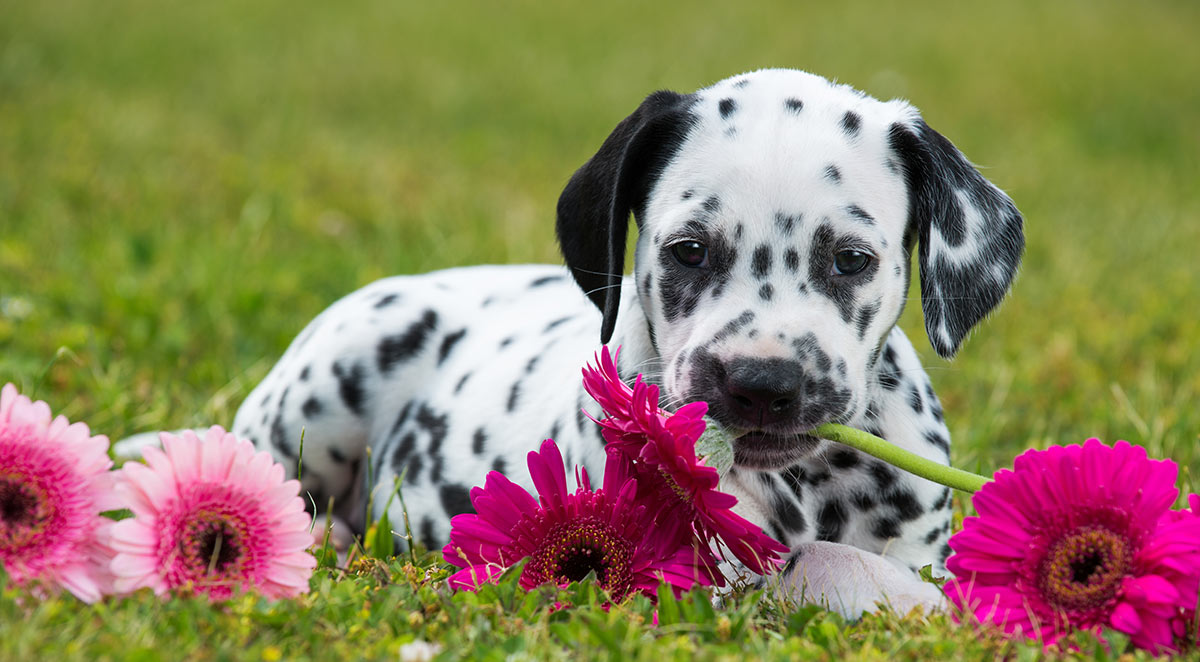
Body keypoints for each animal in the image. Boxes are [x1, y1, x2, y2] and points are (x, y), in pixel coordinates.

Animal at [220, 68, 1027, 614]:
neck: (818, 482)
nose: (760, 384)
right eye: (689, 250)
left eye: (851, 259)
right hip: (327, 387)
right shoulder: (702, 569)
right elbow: (826, 563)